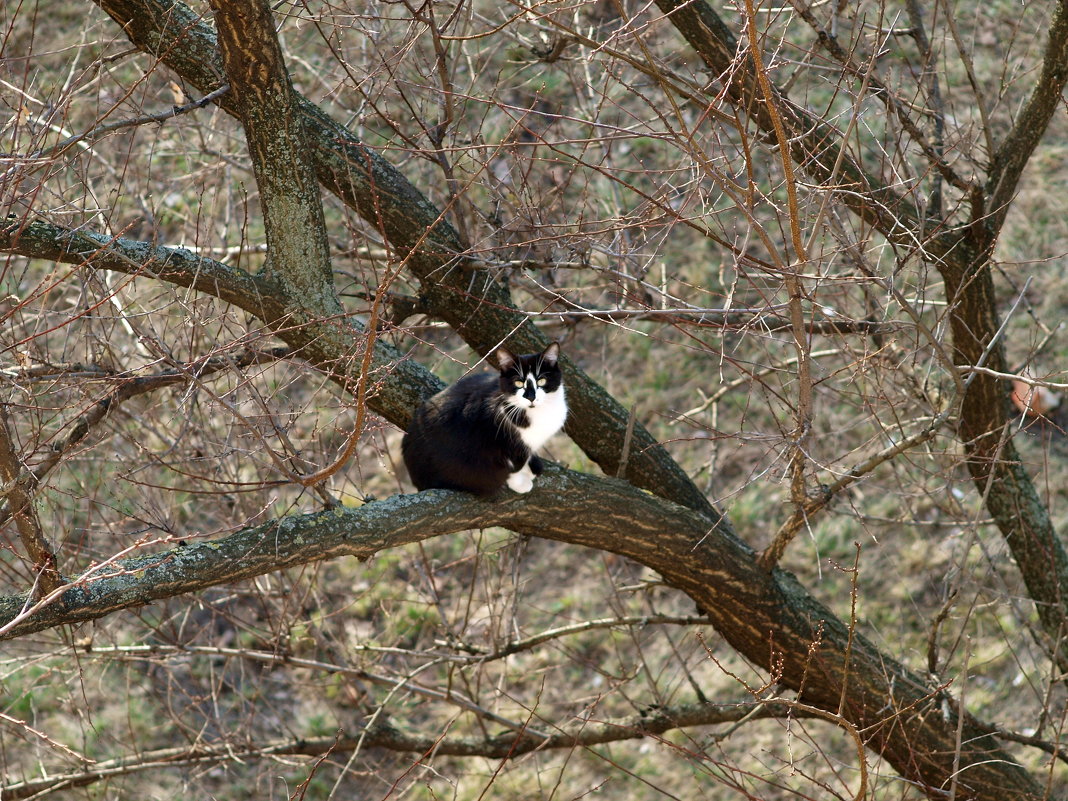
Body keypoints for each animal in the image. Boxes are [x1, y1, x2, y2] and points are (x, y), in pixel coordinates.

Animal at [401, 343, 568, 499]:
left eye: (542, 381)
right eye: (518, 383)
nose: (531, 397)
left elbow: (527, 452)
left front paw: (533, 464)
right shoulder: (501, 440)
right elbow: (514, 463)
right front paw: (519, 482)